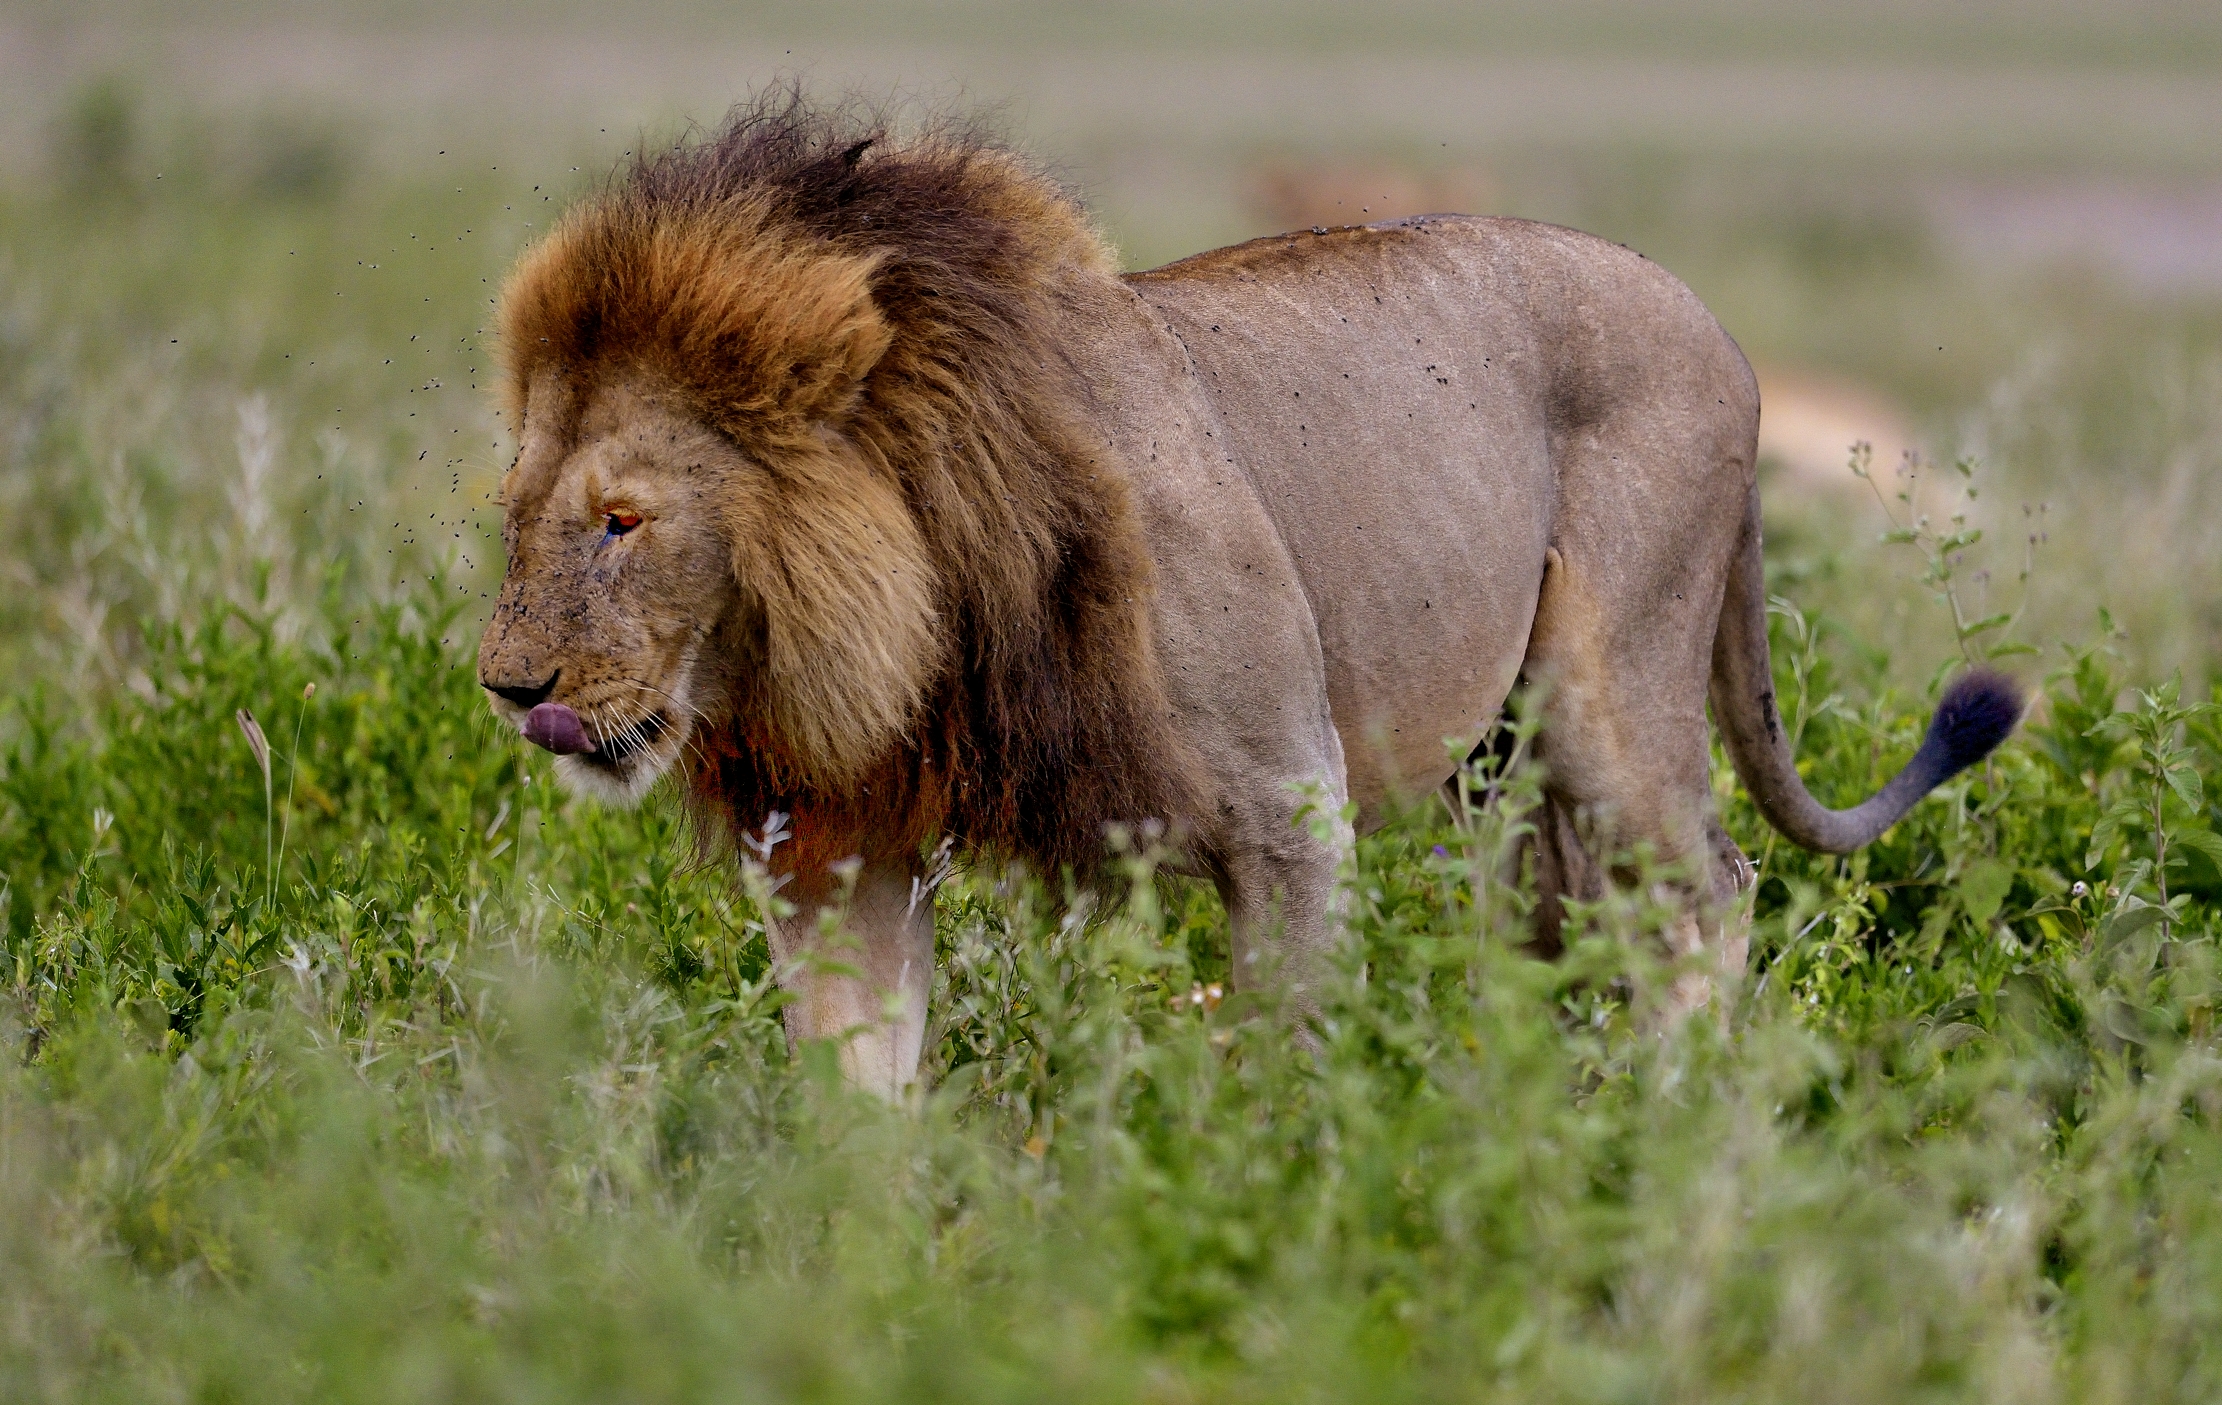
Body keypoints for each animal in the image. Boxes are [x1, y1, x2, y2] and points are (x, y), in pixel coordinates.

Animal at [477, 95, 2020, 1095]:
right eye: (519, 512)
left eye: (622, 521)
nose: (507, 688)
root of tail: (1723, 332)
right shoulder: (837, 838)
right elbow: (856, 1089)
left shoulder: (1288, 802)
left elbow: (1278, 1058)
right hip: (1500, 764)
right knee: (1553, 918)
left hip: (1615, 686)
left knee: (1707, 890)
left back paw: (1670, 1125)